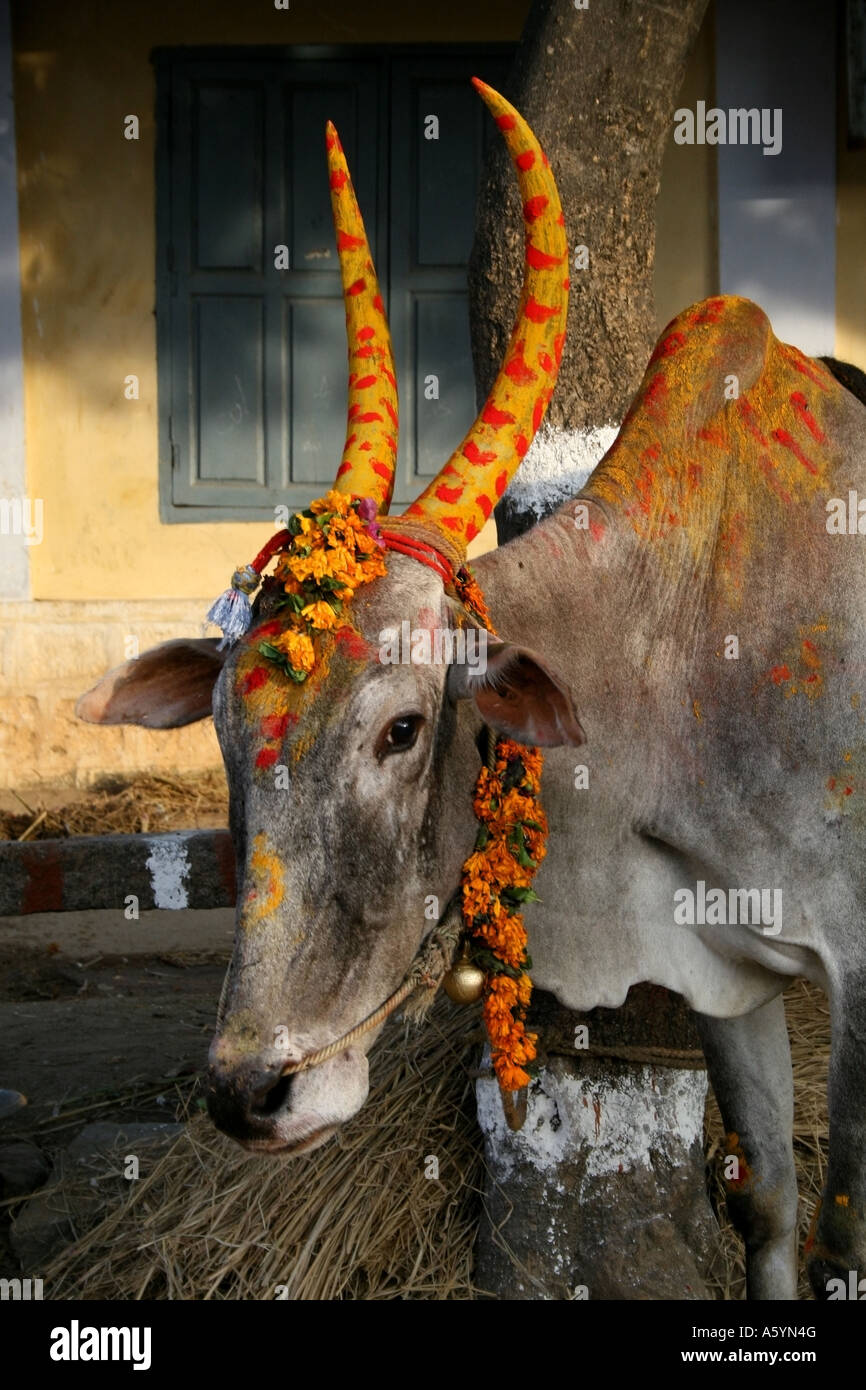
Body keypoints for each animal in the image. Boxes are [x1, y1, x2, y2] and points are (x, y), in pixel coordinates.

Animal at [77, 79, 866, 1301]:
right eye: (220, 729)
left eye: (403, 728)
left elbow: (835, 1238)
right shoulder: (727, 973)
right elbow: (769, 1204)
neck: (687, 648)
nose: (251, 1092)